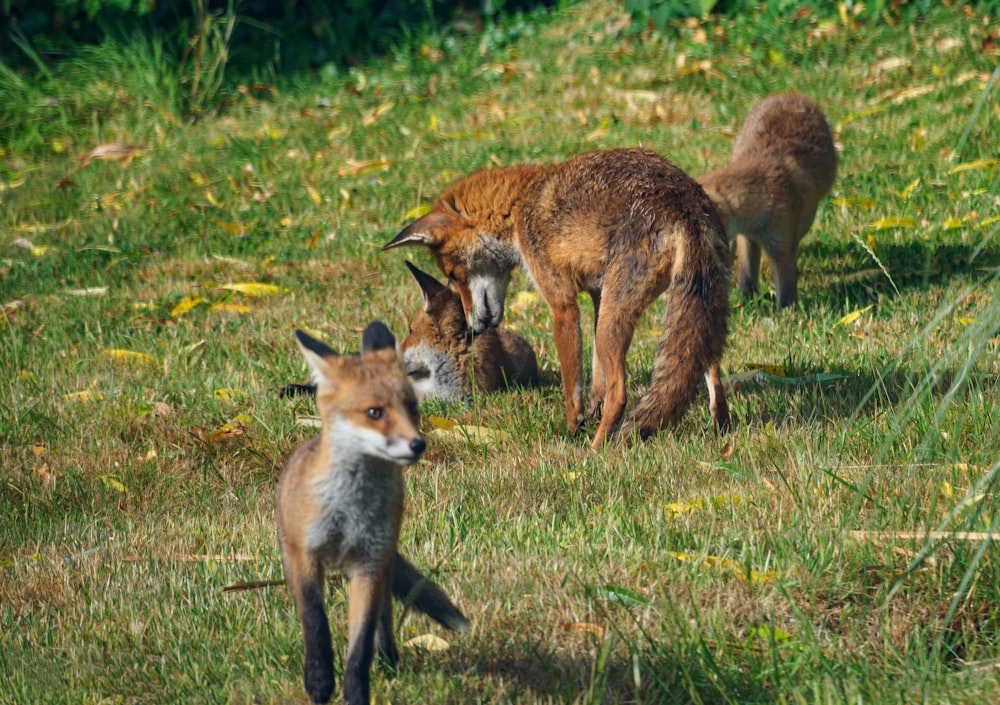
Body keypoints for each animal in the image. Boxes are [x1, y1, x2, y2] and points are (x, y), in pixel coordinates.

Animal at [278, 320, 468, 704]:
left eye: (412, 408)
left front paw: (355, 692)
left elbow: (361, 645)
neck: (349, 512)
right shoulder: (305, 556)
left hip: (383, 563)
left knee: (384, 618)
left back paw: (389, 660)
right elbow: (315, 622)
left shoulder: (368, 564)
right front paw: (319, 682)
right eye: (374, 412)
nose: (418, 444)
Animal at [696, 91, 836, 308]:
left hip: (806, 219)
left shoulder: (780, 243)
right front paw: (747, 299)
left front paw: (786, 312)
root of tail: (790, 93)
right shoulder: (747, 237)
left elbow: (786, 287)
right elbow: (747, 274)